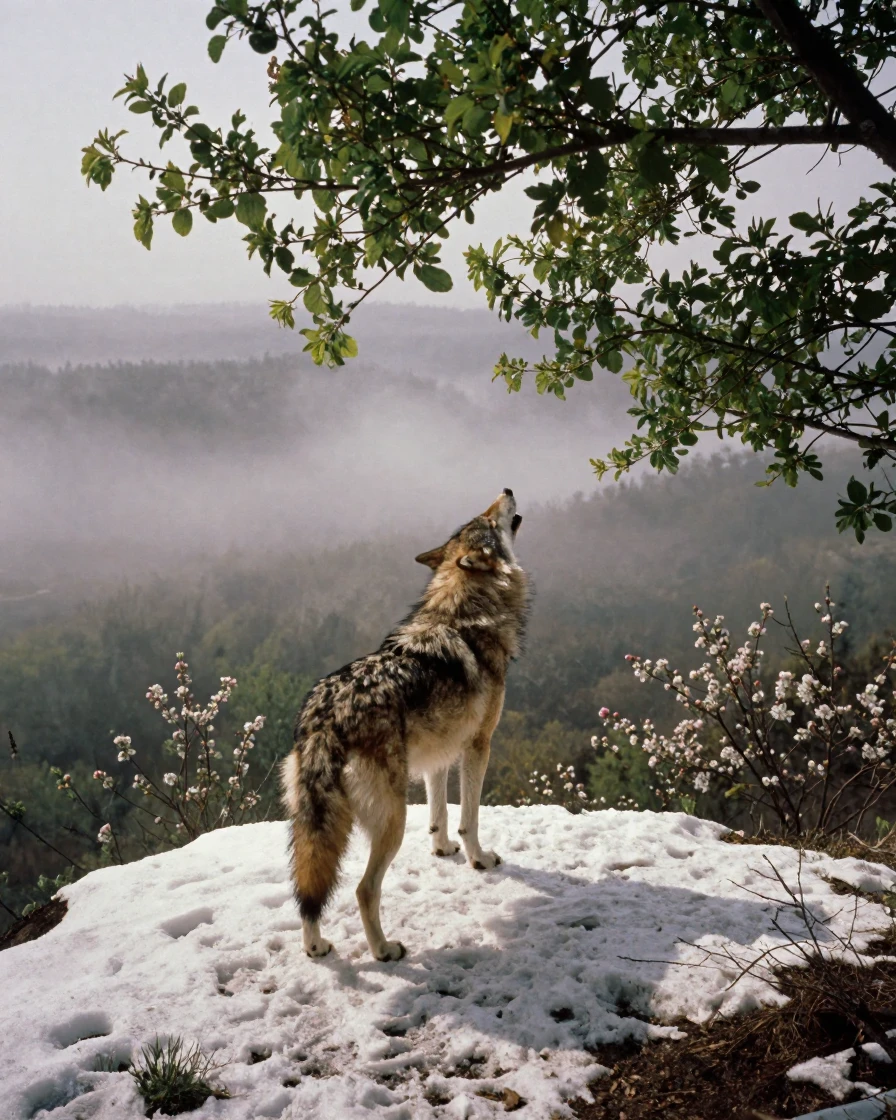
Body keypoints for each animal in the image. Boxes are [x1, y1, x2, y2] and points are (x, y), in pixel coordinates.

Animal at [281, 489, 528, 962]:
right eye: (488, 521)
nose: (506, 490)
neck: (462, 612)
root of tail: (324, 718)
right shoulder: (478, 744)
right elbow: (469, 817)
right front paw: (478, 859)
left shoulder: (439, 753)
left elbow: (439, 813)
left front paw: (442, 849)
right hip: (392, 820)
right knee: (363, 890)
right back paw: (384, 949)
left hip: (315, 823)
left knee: (307, 888)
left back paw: (316, 945)